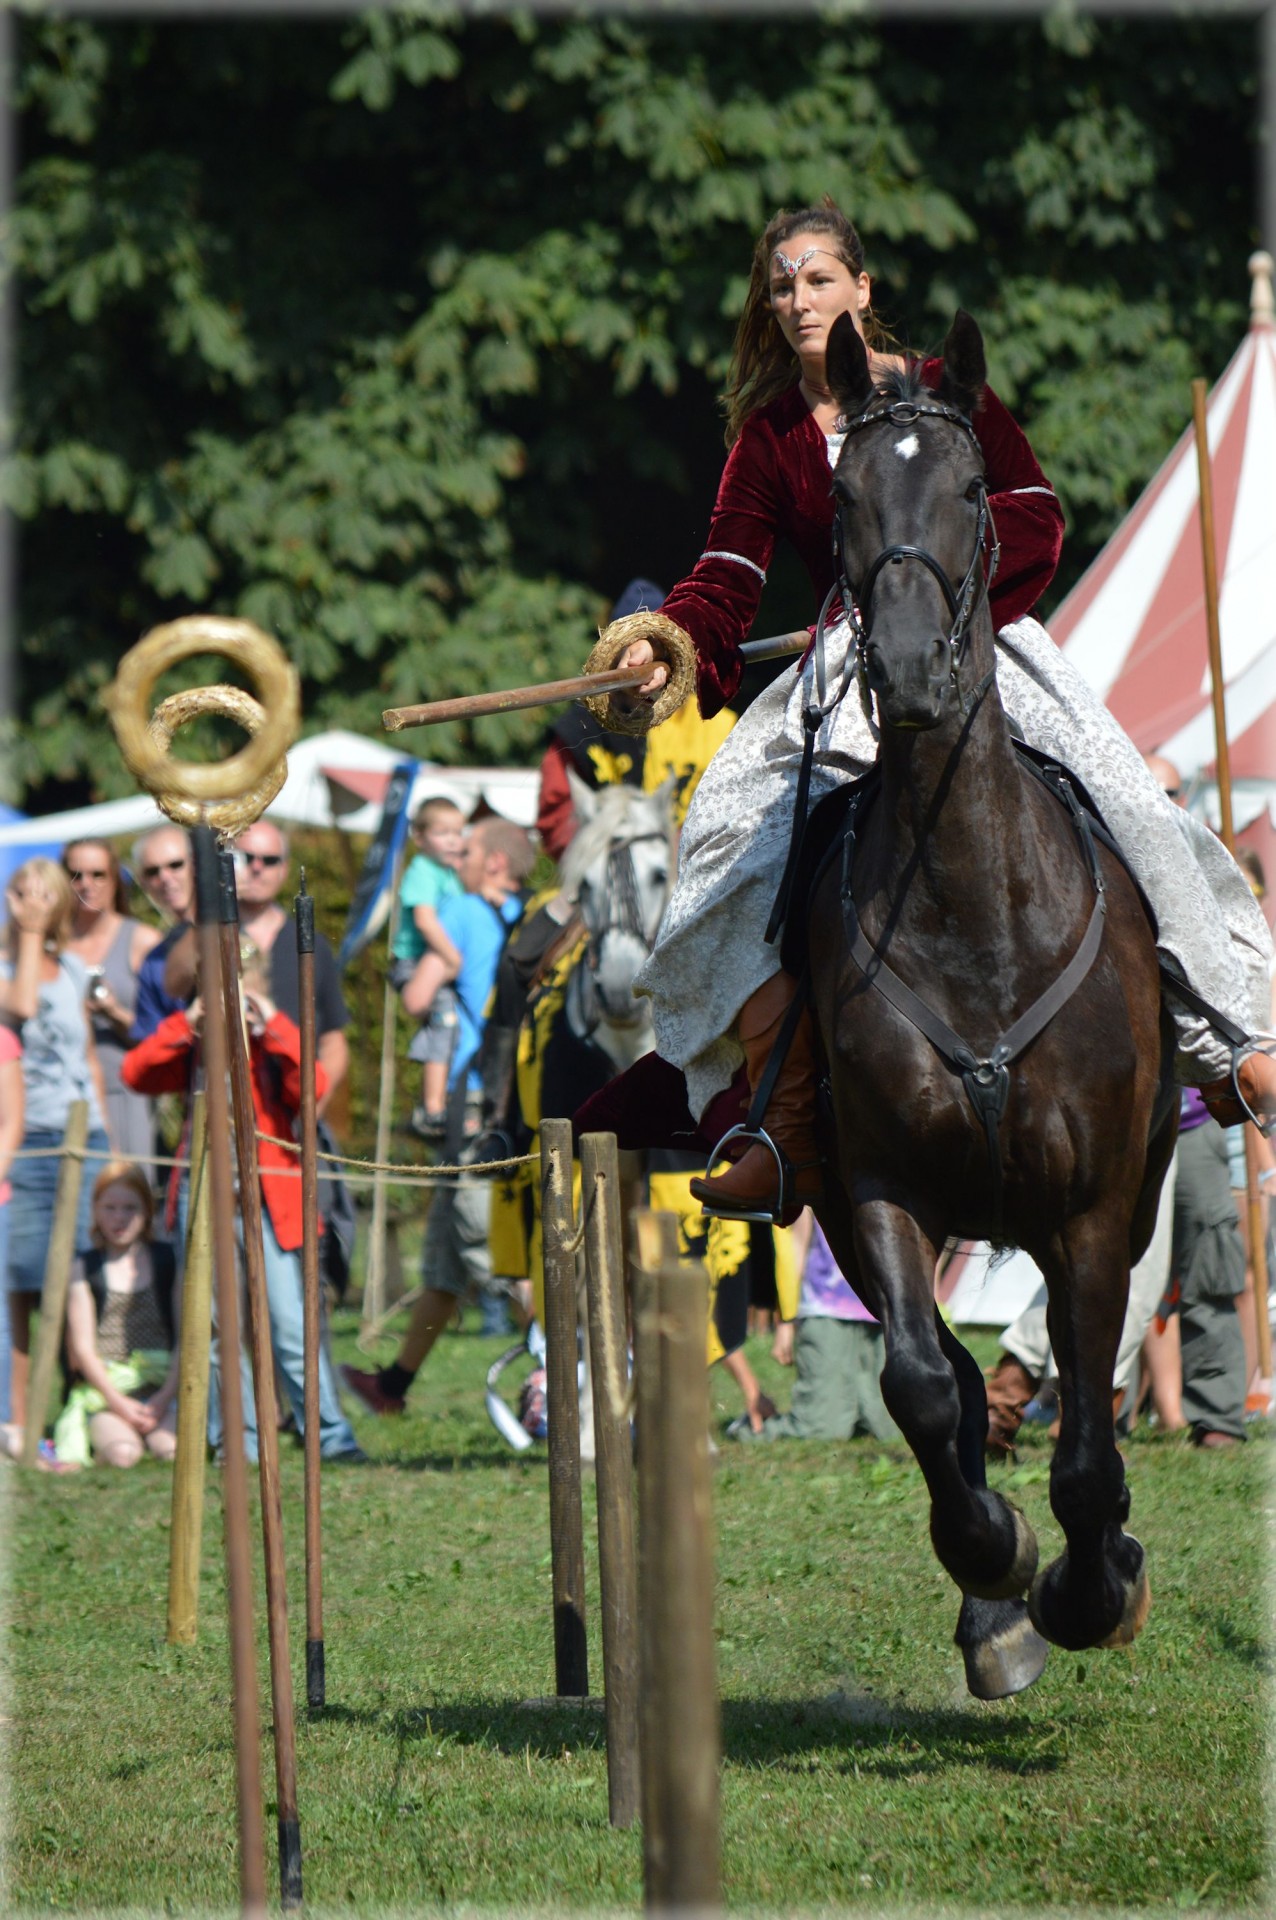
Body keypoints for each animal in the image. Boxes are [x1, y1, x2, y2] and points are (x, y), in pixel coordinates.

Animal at [805, 311, 1174, 1697]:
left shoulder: (1092, 1211)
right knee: (953, 1387)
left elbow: (1083, 1426)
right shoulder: (874, 1190)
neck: (972, 912)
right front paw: (998, 1570)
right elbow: (921, 1384)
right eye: (845, 497)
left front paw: (1093, 1584)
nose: (910, 671)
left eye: (971, 489)